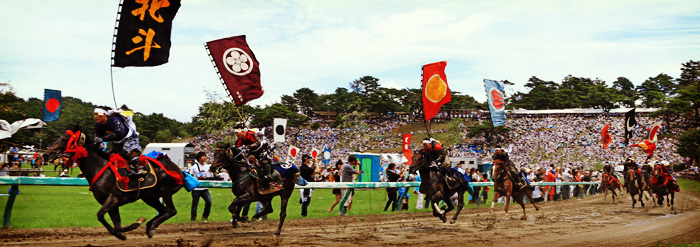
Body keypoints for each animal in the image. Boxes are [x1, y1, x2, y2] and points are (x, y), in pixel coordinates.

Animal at [44, 125, 183, 239]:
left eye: (64, 138)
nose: (46, 154)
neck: (100, 168)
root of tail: (177, 168)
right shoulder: (112, 205)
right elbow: (115, 225)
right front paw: (126, 230)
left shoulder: (113, 199)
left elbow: (100, 215)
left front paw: (132, 226)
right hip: (149, 197)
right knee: (163, 210)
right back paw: (150, 226)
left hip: (165, 190)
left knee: (171, 211)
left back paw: (152, 226)